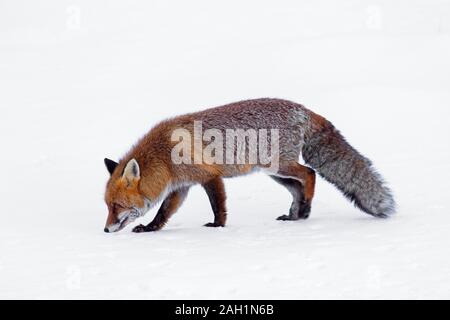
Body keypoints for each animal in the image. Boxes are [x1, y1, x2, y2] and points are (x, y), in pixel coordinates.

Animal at [102, 97, 394, 232]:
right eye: (108, 206)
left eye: (117, 206)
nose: (105, 229)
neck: (165, 154)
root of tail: (303, 108)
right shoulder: (182, 186)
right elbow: (163, 213)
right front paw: (149, 229)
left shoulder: (210, 176)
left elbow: (218, 206)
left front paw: (218, 226)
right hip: (274, 173)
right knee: (298, 187)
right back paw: (295, 214)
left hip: (279, 166)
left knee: (310, 174)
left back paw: (306, 209)